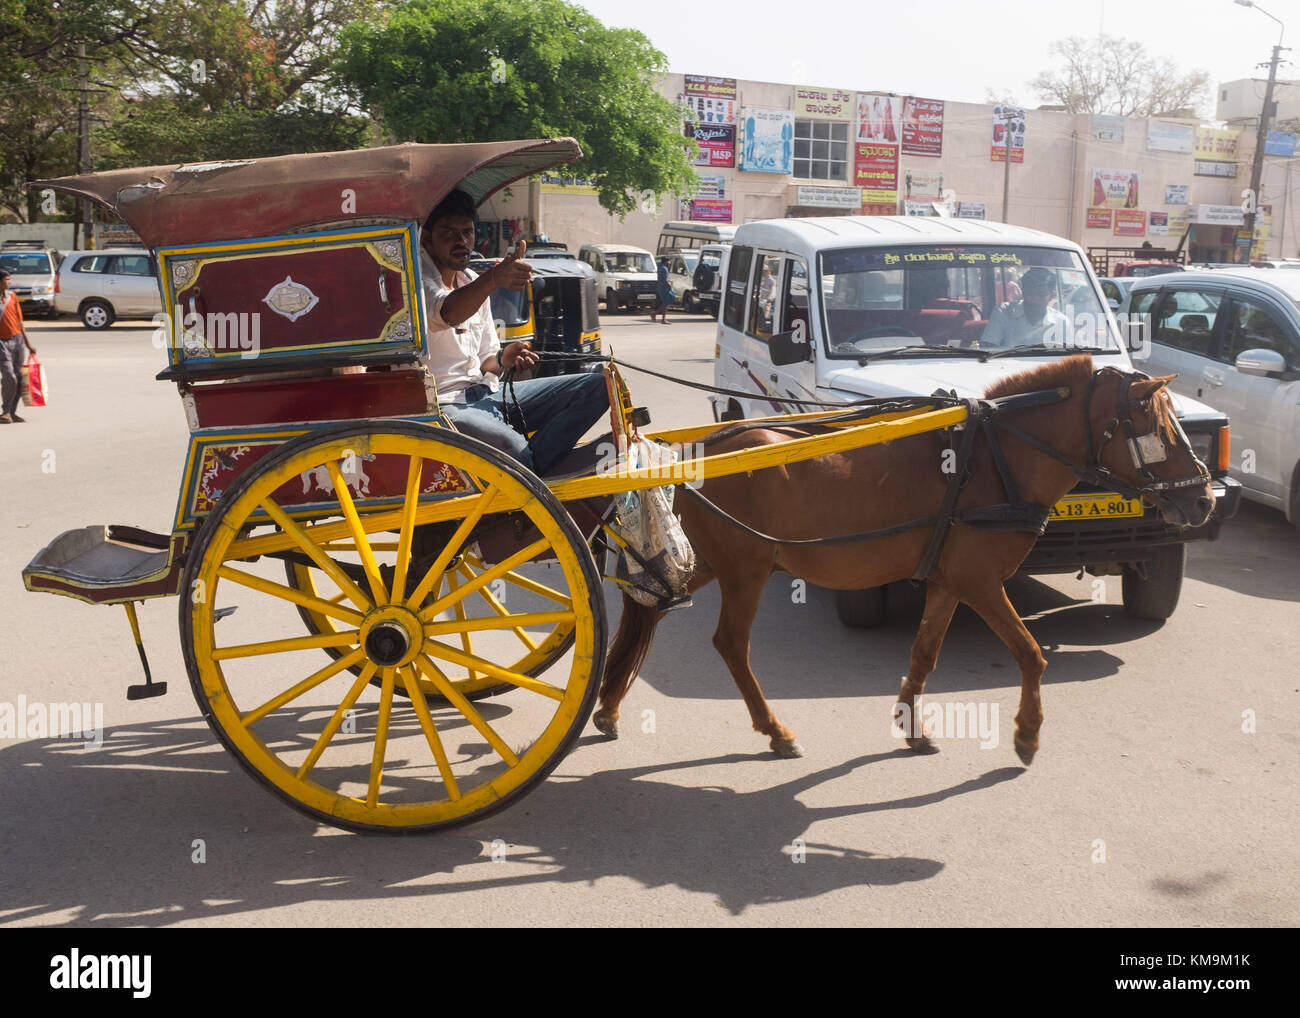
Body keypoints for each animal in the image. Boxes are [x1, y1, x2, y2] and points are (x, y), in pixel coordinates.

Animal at [595, 358, 1211, 764]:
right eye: (1154, 428)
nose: (1203, 498)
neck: (995, 460)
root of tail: (705, 449)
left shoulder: (949, 581)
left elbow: (924, 652)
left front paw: (912, 725)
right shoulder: (980, 581)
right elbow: (1031, 654)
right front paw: (1027, 734)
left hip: (709, 561)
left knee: (650, 607)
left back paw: (608, 706)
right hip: (745, 568)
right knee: (730, 644)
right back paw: (774, 730)